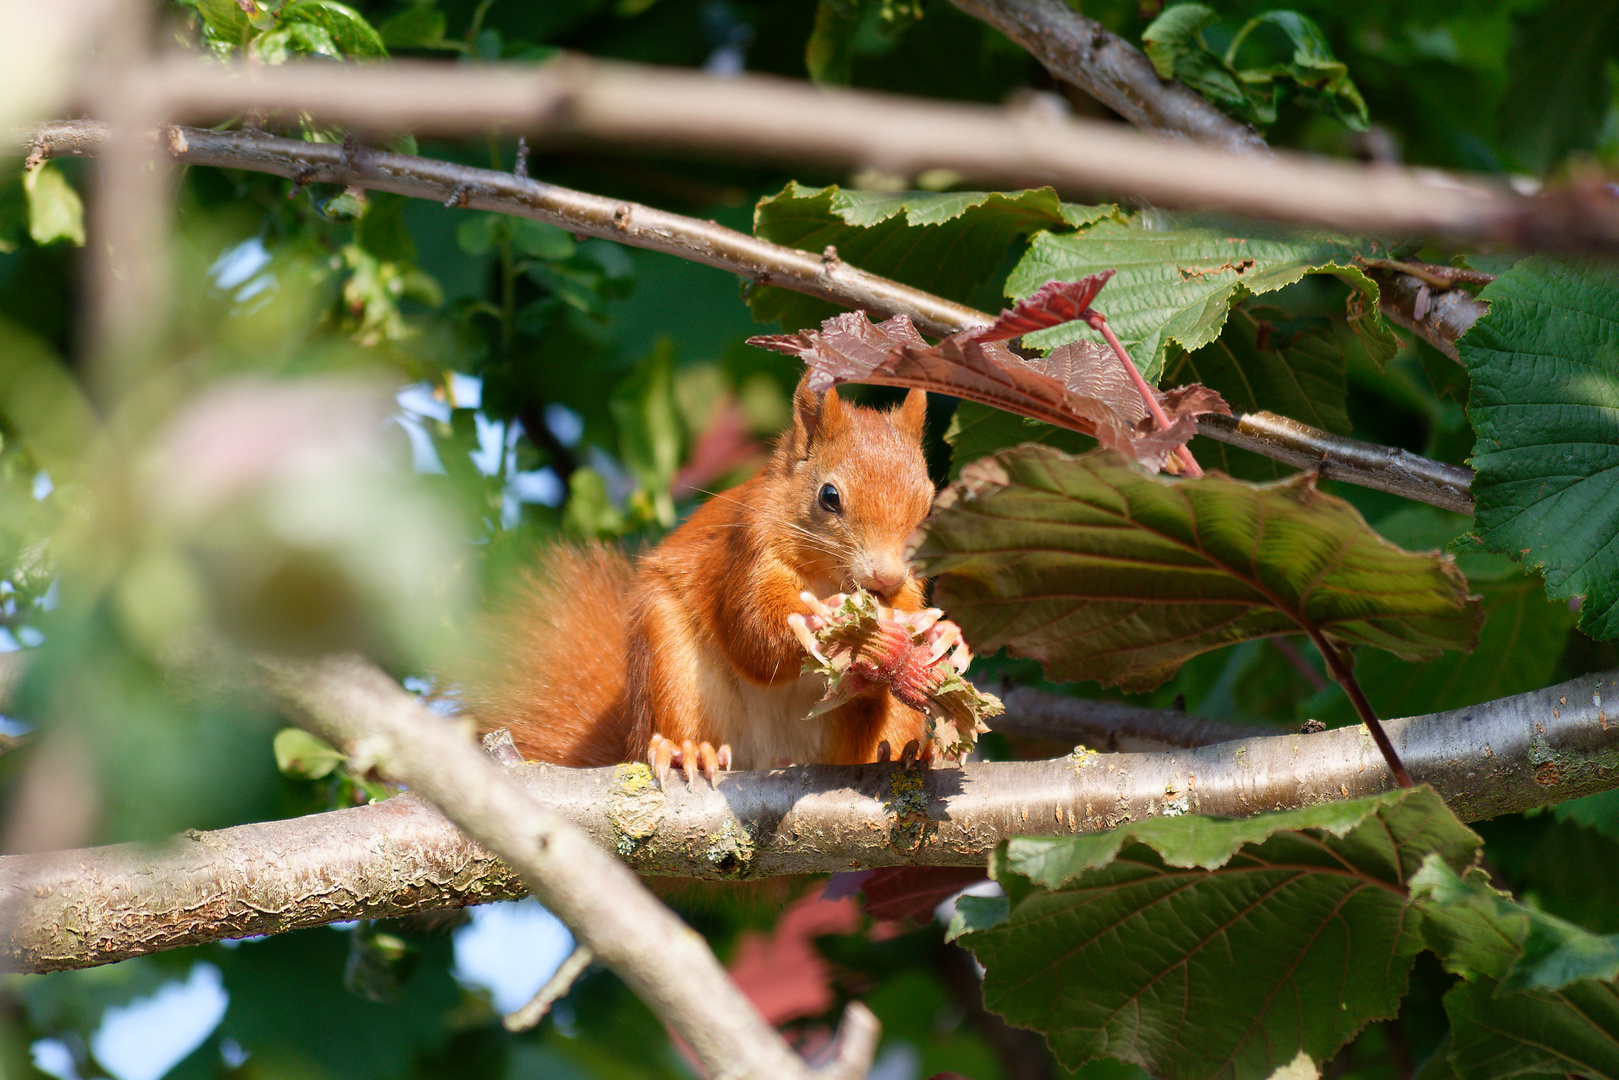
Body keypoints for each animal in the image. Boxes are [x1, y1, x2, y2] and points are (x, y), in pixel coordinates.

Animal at [469, 375, 939, 780]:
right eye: (829, 497)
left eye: (929, 506)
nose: (887, 577)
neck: (828, 578)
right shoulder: (746, 552)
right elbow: (753, 635)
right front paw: (821, 619)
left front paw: (935, 634)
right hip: (668, 661)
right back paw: (690, 752)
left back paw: (912, 754)